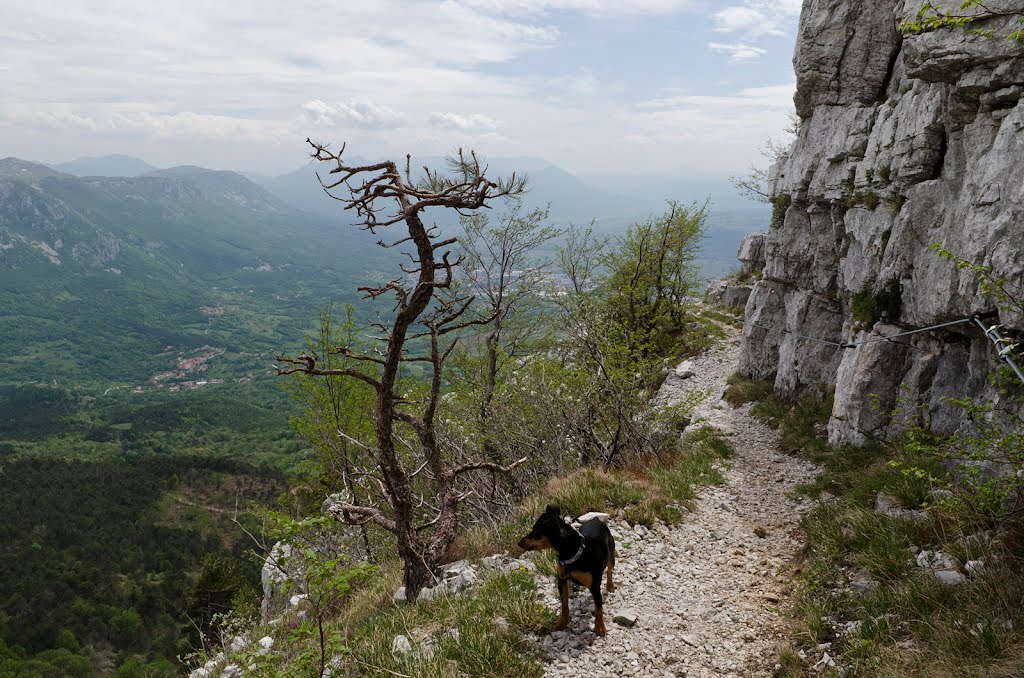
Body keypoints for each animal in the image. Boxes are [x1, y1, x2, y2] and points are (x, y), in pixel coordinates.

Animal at [520, 503, 614, 639]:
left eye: (536, 533)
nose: (518, 543)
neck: (571, 554)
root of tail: (596, 519)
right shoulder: (561, 580)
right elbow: (564, 604)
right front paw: (562, 622)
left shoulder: (595, 586)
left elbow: (598, 608)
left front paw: (600, 627)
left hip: (611, 553)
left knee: (610, 569)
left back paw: (610, 586)